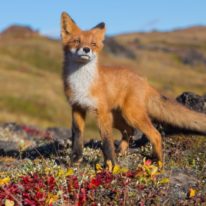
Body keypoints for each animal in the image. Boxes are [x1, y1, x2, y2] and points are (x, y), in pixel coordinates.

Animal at [60, 11, 206, 169]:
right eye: (77, 41)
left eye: (93, 44)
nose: (86, 49)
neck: (82, 83)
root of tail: (144, 80)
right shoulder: (77, 107)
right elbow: (77, 136)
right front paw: (75, 160)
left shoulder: (101, 113)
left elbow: (107, 142)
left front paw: (112, 166)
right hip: (117, 118)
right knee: (129, 130)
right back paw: (122, 151)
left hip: (130, 115)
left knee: (155, 135)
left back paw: (159, 162)